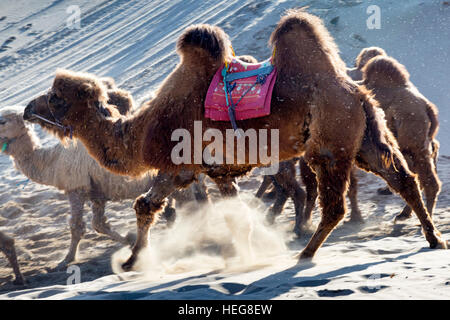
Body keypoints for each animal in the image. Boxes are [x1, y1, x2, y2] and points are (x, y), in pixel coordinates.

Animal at [25, 9, 446, 270]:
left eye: (56, 97)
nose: (28, 109)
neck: (141, 131)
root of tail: (355, 90)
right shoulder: (208, 171)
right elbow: (208, 212)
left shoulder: (179, 165)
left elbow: (157, 207)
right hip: (367, 136)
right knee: (404, 178)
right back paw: (433, 239)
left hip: (329, 142)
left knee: (336, 204)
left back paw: (306, 252)